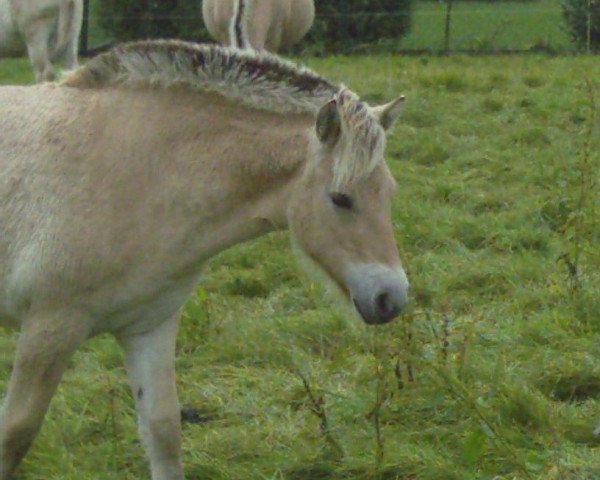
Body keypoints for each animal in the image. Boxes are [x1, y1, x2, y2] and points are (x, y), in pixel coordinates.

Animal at [0, 41, 408, 480]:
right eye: (340, 198)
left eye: (389, 193)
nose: (392, 297)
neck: (135, 171)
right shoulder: (49, 329)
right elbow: (15, 432)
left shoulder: (149, 326)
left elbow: (163, 429)